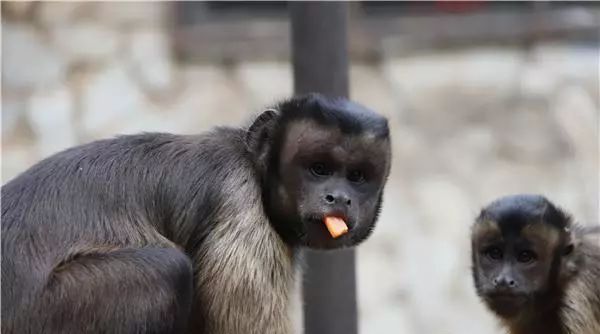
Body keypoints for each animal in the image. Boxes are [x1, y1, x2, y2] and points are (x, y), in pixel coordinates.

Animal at [1, 93, 394, 334]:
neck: (254, 169)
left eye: (356, 177)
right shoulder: (241, 209)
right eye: (319, 169)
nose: (338, 197)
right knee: (167, 270)